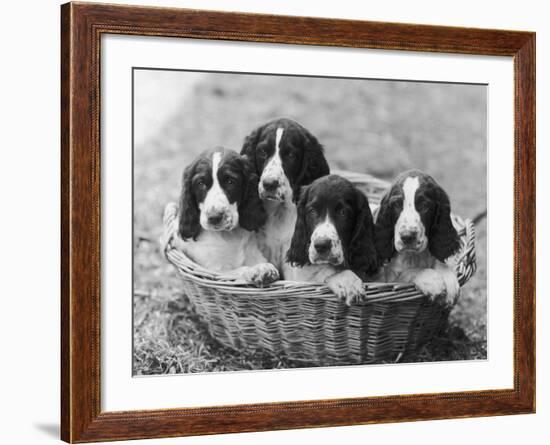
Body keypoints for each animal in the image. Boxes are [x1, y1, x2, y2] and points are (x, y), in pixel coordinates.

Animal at [162, 146, 278, 284]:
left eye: (230, 181)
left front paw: (263, 268)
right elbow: (238, 270)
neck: (229, 236)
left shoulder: (254, 254)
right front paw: (258, 270)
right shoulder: (215, 270)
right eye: (201, 184)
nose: (214, 217)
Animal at [378, 168, 464, 304]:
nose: (407, 236)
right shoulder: (387, 280)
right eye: (396, 204)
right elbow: (404, 274)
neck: (413, 256)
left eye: (424, 205)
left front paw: (448, 278)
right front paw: (431, 280)